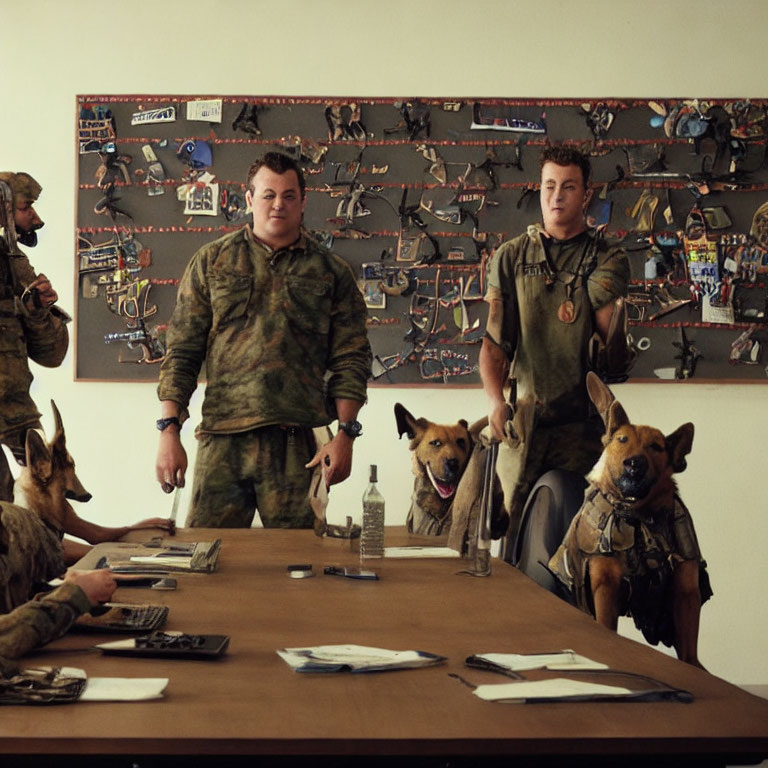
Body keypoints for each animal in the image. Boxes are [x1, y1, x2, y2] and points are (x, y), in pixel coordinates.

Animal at [548, 372, 712, 664]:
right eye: (622, 440)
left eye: (656, 447)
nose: (635, 463)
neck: (639, 515)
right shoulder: (605, 585)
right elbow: (605, 625)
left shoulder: (686, 590)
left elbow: (689, 652)